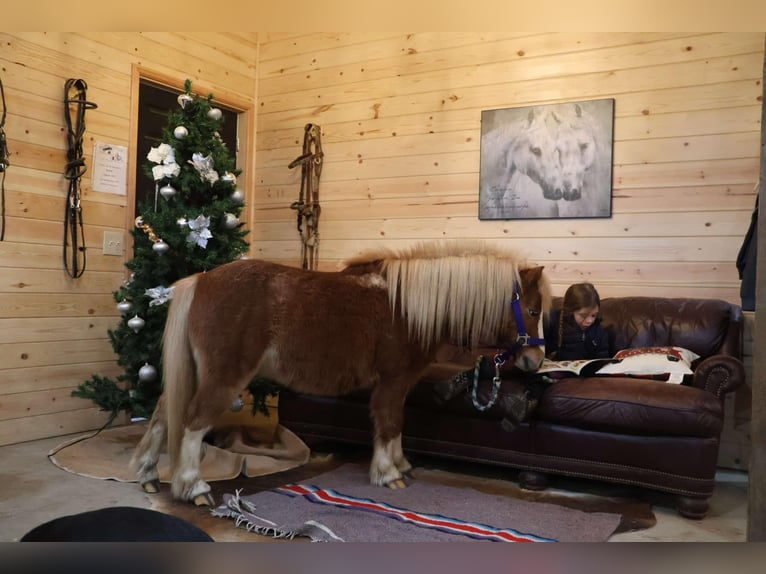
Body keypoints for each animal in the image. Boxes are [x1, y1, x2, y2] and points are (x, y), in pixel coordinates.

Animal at [134, 241, 552, 506]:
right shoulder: (391, 383)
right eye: (532, 310)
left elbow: (395, 426)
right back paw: (194, 487)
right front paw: (388, 474)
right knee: (192, 422)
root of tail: (201, 279)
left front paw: (400, 465)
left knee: (162, 415)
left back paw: (149, 476)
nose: (535, 361)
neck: (407, 308)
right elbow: (389, 424)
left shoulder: (398, 386)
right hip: (223, 377)